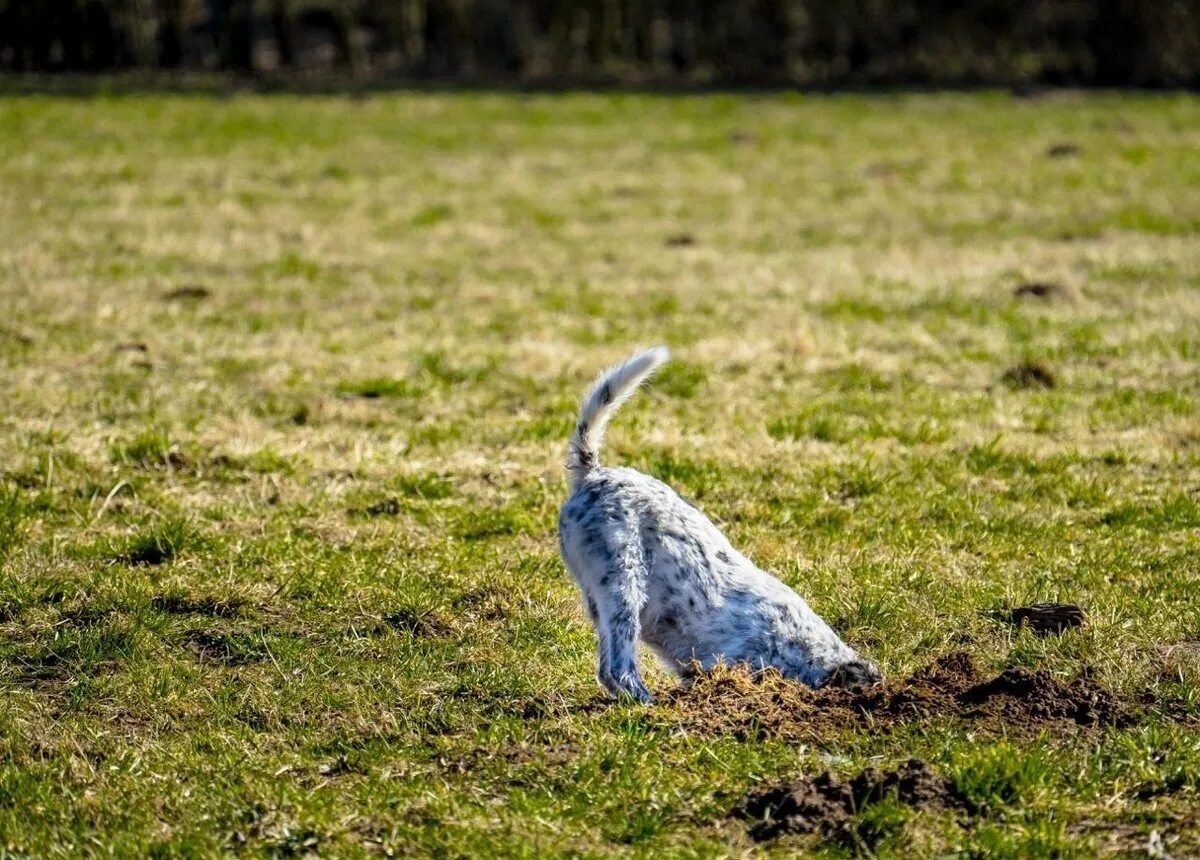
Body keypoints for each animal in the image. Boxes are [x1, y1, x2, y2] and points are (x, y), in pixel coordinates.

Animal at [554, 345, 883, 700]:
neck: (806, 649)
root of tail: (593, 473)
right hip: (624, 583)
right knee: (617, 668)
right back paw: (647, 701)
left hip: (601, 595)